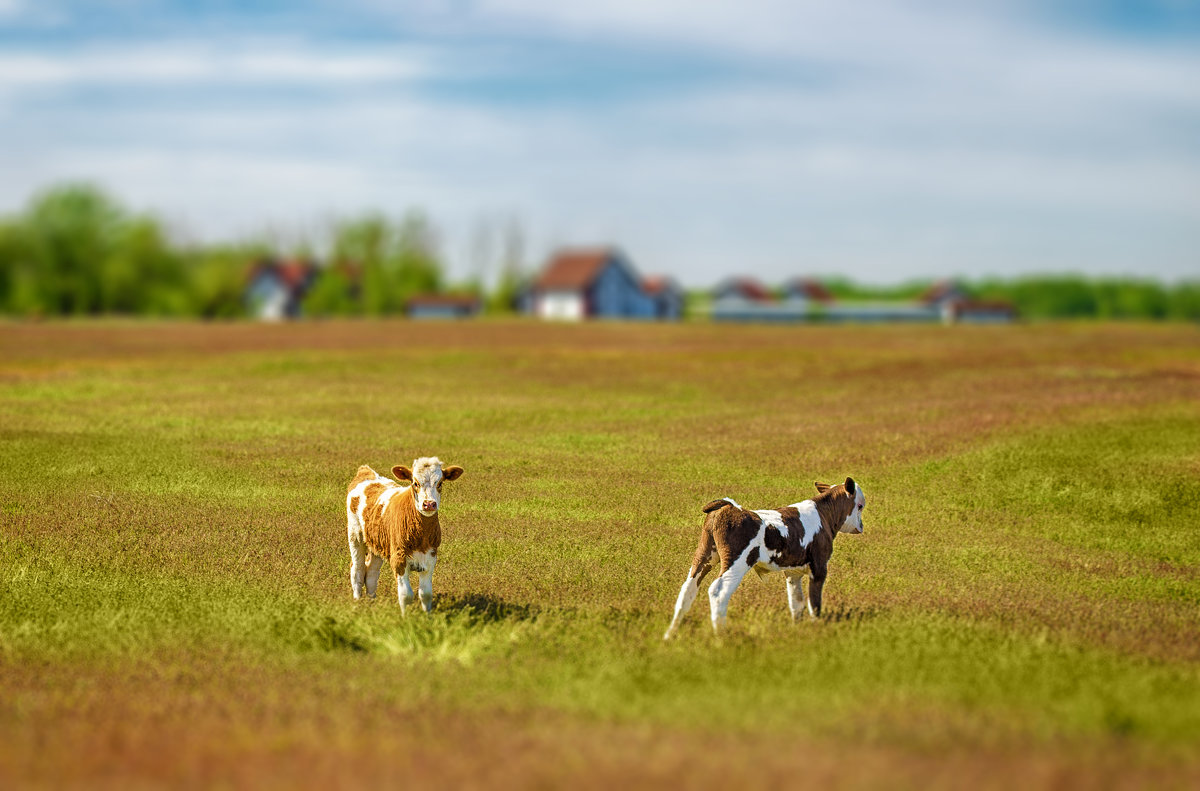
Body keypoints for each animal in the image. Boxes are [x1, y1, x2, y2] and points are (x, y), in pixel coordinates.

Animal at [348, 458, 463, 612]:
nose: (429, 504)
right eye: (415, 483)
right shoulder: (399, 558)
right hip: (355, 537)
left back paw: (372, 601)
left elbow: (426, 594)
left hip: (377, 543)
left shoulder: (431, 557)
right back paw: (357, 602)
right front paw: (405, 616)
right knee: (357, 570)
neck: (421, 535)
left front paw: (427, 616)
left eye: (440, 483)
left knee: (372, 573)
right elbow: (405, 595)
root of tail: (366, 472)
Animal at [662, 477, 868, 638]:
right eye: (860, 506)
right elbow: (814, 603)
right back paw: (721, 636)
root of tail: (730, 507)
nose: (861, 527)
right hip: (737, 561)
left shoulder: (793, 573)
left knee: (687, 589)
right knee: (718, 591)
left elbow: (797, 603)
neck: (823, 515)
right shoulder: (819, 567)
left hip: (704, 555)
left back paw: (670, 634)